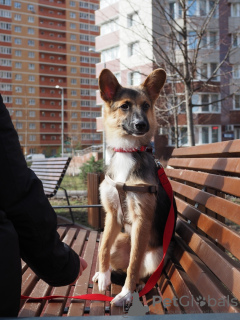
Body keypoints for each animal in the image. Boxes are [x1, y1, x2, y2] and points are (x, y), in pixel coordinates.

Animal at [92, 69, 176, 306]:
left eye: (146, 105)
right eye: (125, 106)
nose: (142, 125)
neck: (126, 151)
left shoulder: (141, 219)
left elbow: (134, 263)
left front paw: (126, 293)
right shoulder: (112, 214)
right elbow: (103, 248)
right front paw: (104, 275)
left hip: (154, 255)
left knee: (140, 271)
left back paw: (136, 287)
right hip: (120, 240)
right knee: (112, 252)